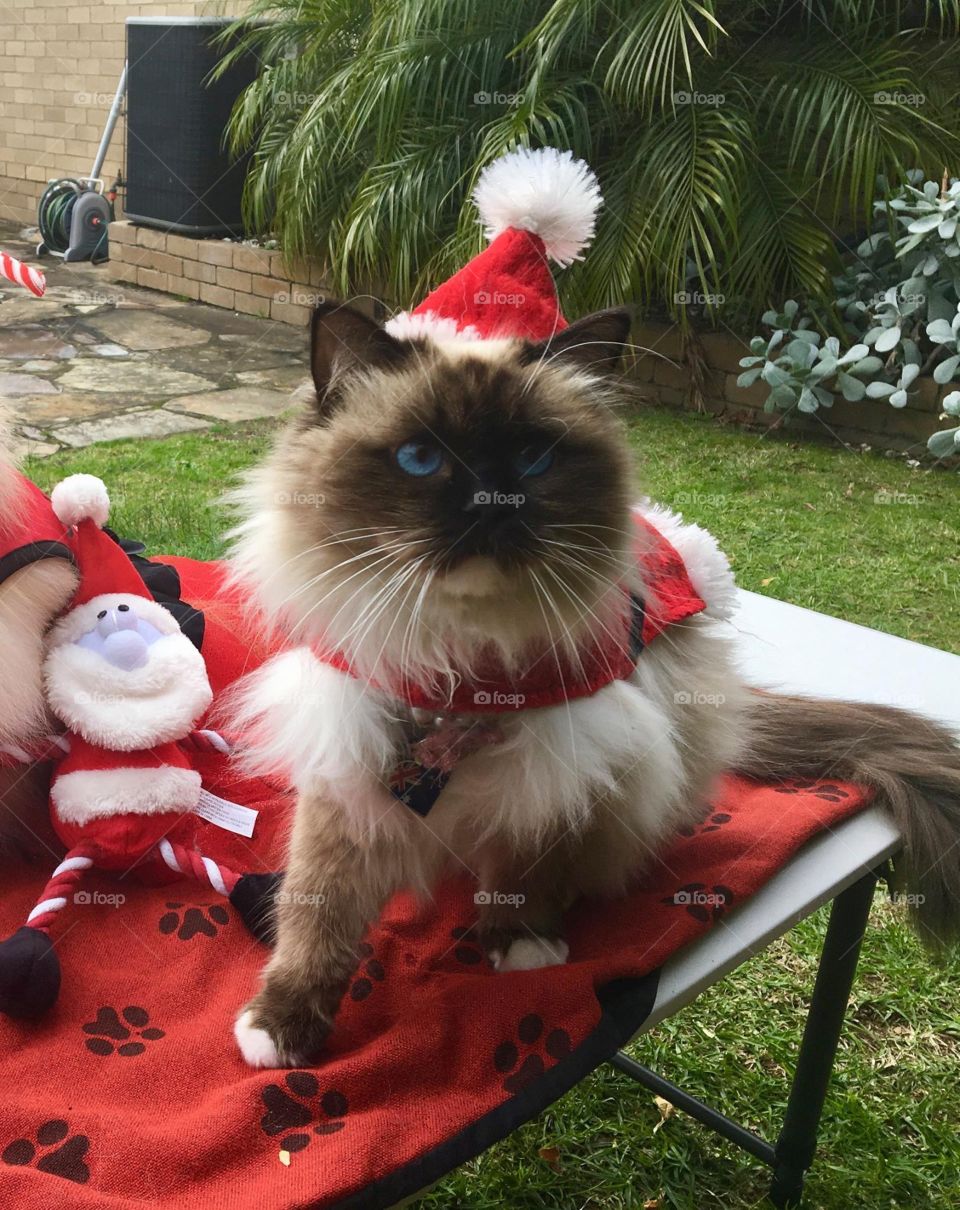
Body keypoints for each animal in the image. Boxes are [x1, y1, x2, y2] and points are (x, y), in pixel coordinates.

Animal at [226, 302, 958, 1069]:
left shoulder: (559, 764)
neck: (464, 664)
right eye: (420, 458)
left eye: (533, 458)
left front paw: (520, 947)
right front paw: (278, 1029)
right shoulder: (348, 763)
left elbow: (523, 869)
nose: (491, 502)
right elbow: (318, 913)